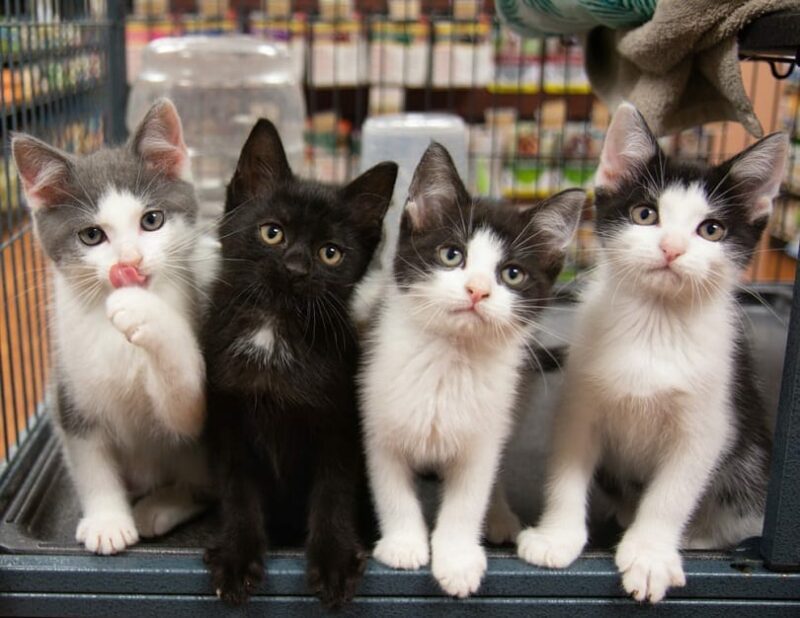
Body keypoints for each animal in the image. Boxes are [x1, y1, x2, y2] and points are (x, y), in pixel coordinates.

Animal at [13, 100, 219, 552]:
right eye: (92, 236)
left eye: (152, 220)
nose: (130, 263)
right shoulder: (69, 390)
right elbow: (90, 460)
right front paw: (107, 519)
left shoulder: (196, 413)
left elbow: (184, 397)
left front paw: (145, 312)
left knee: (203, 486)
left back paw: (162, 505)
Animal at [203, 119, 396, 608]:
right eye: (272, 233)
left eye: (330, 252)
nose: (295, 268)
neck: (274, 330)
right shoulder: (227, 417)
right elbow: (237, 488)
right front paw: (237, 557)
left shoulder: (339, 422)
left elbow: (333, 490)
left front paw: (334, 560)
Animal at [360, 142, 584, 596]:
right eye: (452, 255)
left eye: (512, 274)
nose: (477, 290)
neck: (449, 358)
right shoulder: (378, 417)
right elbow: (391, 488)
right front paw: (404, 544)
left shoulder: (483, 436)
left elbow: (468, 499)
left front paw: (458, 559)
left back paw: (499, 517)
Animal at [516, 104, 784, 600]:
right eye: (645, 214)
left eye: (711, 229)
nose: (671, 248)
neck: (654, 327)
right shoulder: (581, 403)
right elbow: (567, 470)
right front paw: (557, 537)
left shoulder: (707, 424)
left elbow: (671, 493)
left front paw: (650, 555)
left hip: (749, 469)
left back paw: (697, 538)